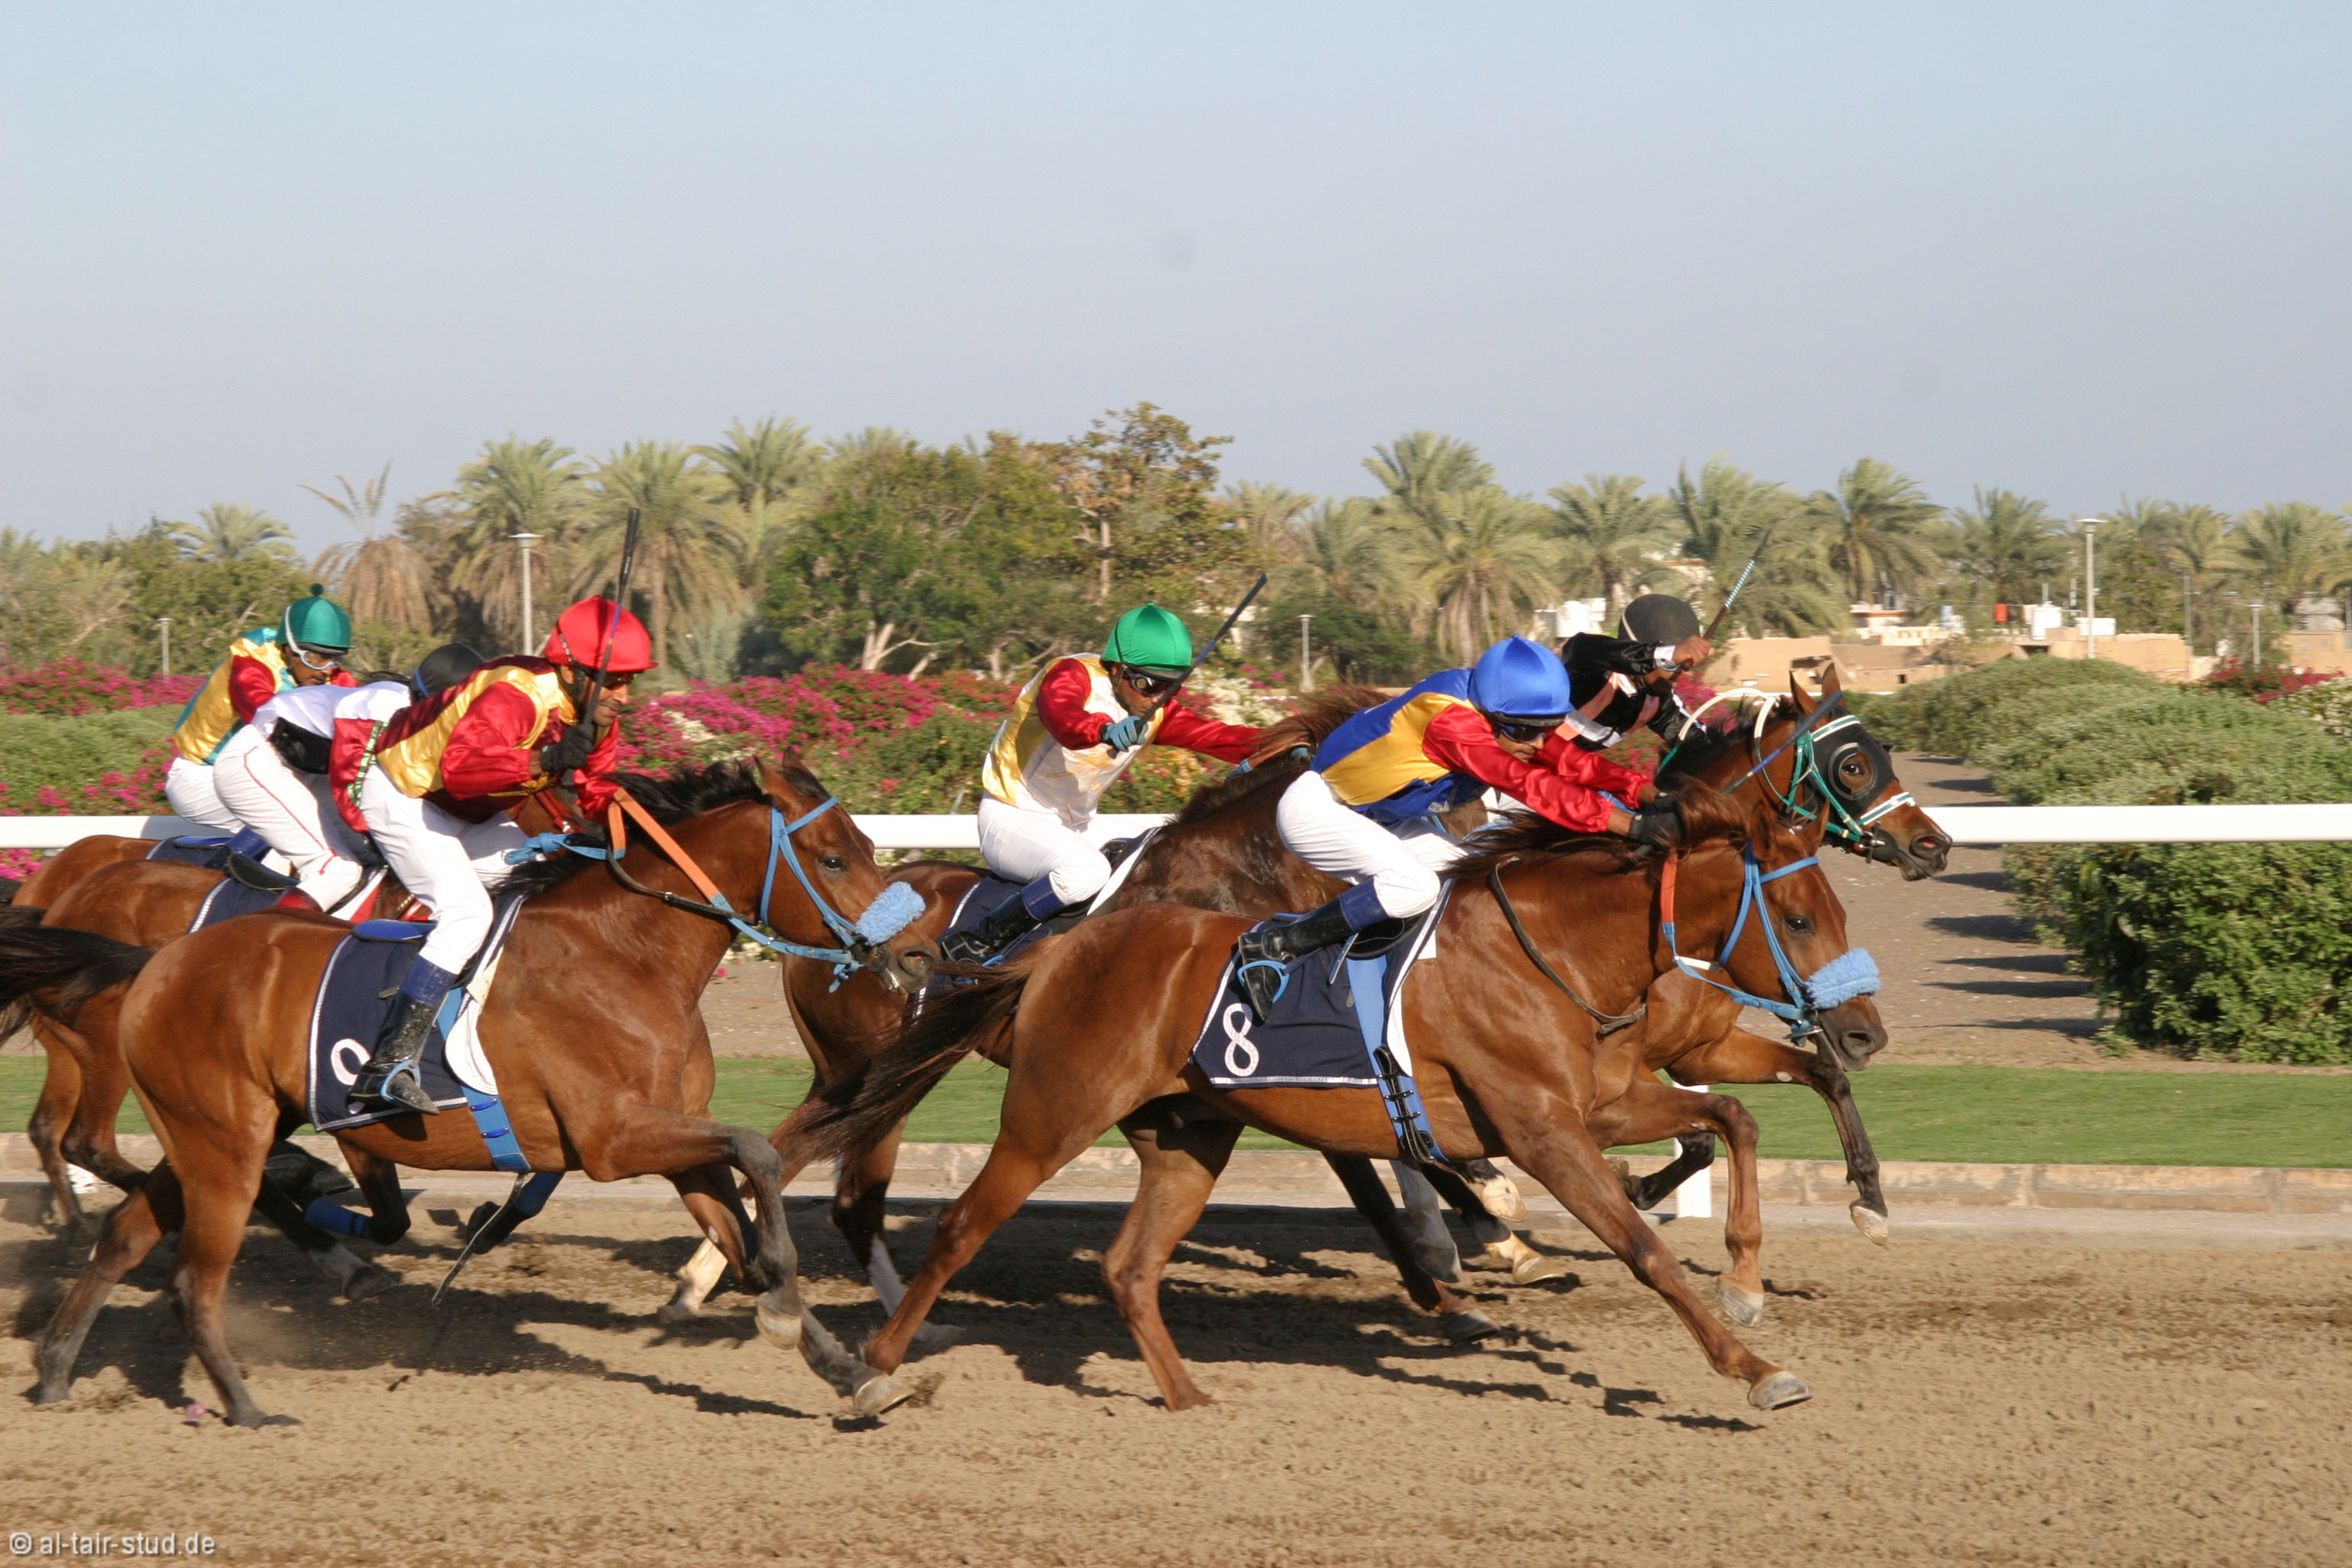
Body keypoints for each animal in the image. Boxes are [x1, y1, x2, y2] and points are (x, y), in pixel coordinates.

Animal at [0, 759, 934, 1427]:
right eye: (834, 856)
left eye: (863, 845)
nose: (919, 953)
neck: (626, 951)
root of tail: (161, 960)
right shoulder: (613, 1138)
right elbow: (759, 1151)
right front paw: (779, 1293)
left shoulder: (671, 1139)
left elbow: (738, 1214)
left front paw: (848, 1370)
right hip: (220, 1140)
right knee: (189, 1271)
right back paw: (248, 1402)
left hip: (211, 1134)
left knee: (127, 1232)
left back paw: (56, 1369)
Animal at [785, 785, 1881, 1412]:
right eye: (1795, 915)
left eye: (1832, 905)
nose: (1865, 1026)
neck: (1550, 950)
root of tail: (1061, 950)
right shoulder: (1539, 1128)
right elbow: (1643, 1247)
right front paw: (1750, 1366)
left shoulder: (1602, 1104)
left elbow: (1729, 1120)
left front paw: (1748, 1275)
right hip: (1052, 1111)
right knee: (961, 1222)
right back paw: (871, 1369)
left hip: (1188, 1135)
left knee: (1130, 1263)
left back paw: (1189, 1396)